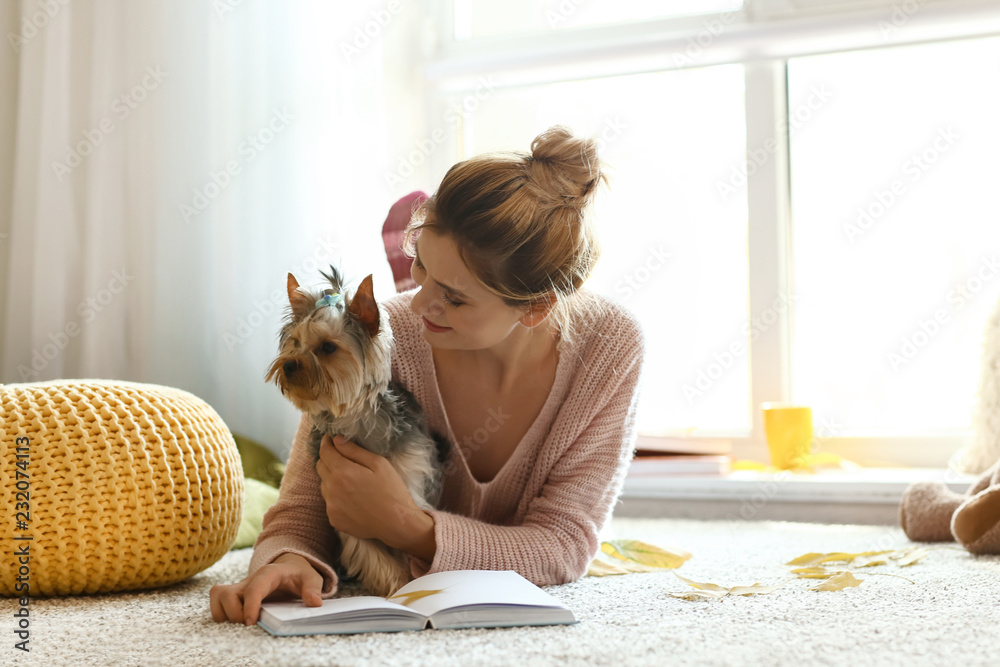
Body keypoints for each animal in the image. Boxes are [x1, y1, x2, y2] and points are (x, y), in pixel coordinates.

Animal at [266, 268, 442, 596]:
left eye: (327, 348)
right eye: (294, 342)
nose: (288, 366)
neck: (354, 419)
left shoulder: (409, 479)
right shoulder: (340, 503)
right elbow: (368, 550)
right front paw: (398, 585)